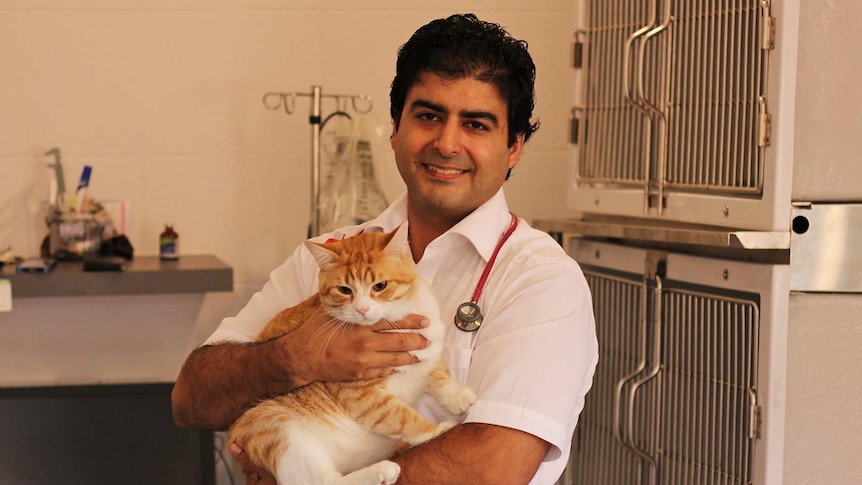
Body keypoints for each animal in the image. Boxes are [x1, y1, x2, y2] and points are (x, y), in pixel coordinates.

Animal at [226, 225, 480, 484]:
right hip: (275, 427)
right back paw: (381, 471)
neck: (396, 319)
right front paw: (436, 430)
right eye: (345, 290)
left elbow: (438, 374)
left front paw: (458, 396)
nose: (362, 309)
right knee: (323, 481)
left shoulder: (428, 349)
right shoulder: (361, 395)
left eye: (380, 286)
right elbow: (402, 416)